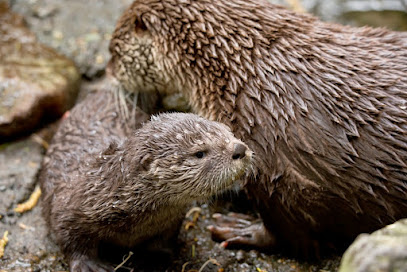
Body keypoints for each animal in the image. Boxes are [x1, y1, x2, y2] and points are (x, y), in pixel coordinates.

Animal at [40, 89, 252, 270]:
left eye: (227, 131)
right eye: (200, 153)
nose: (239, 149)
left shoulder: (171, 220)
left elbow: (164, 240)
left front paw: (159, 257)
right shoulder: (68, 206)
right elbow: (70, 238)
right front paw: (88, 265)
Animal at [107, 0, 407, 258]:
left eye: (112, 51)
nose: (109, 72)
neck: (252, 74)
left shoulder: (278, 170)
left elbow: (293, 231)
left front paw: (242, 230)